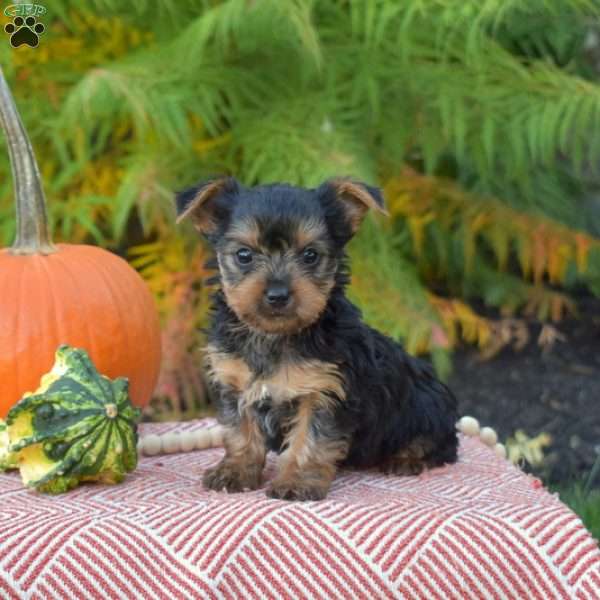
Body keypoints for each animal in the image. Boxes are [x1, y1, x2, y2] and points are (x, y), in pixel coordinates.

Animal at [176, 178, 458, 502]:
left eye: (310, 255)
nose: (277, 295)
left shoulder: (323, 390)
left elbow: (308, 439)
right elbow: (240, 432)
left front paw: (296, 482)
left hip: (427, 404)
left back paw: (405, 458)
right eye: (244, 255)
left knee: (441, 442)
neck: (274, 335)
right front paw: (235, 471)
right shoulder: (234, 381)